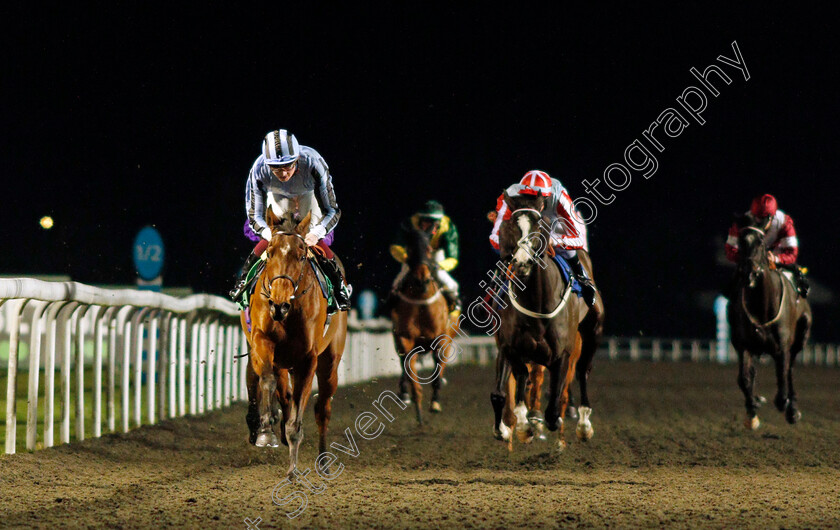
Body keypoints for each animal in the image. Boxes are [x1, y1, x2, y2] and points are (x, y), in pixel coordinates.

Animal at [392, 225, 456, 422]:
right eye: (410, 249)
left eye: (428, 249)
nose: (422, 280)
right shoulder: (405, 339)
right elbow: (410, 372)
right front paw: (417, 407)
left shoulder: (441, 340)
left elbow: (436, 374)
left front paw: (434, 403)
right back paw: (404, 393)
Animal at [492, 190, 604, 450]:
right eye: (510, 225)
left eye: (539, 225)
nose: (522, 262)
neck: (537, 301)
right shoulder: (510, 346)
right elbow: (515, 384)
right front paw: (521, 428)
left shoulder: (562, 353)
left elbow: (553, 409)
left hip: (593, 329)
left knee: (583, 371)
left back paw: (584, 424)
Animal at [728, 208, 812, 426]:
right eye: (741, 242)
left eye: (761, 242)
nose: (749, 273)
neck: (761, 306)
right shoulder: (743, 345)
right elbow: (744, 379)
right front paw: (752, 411)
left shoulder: (782, 348)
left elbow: (782, 381)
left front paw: (786, 405)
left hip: (801, 336)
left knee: (790, 372)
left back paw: (792, 409)